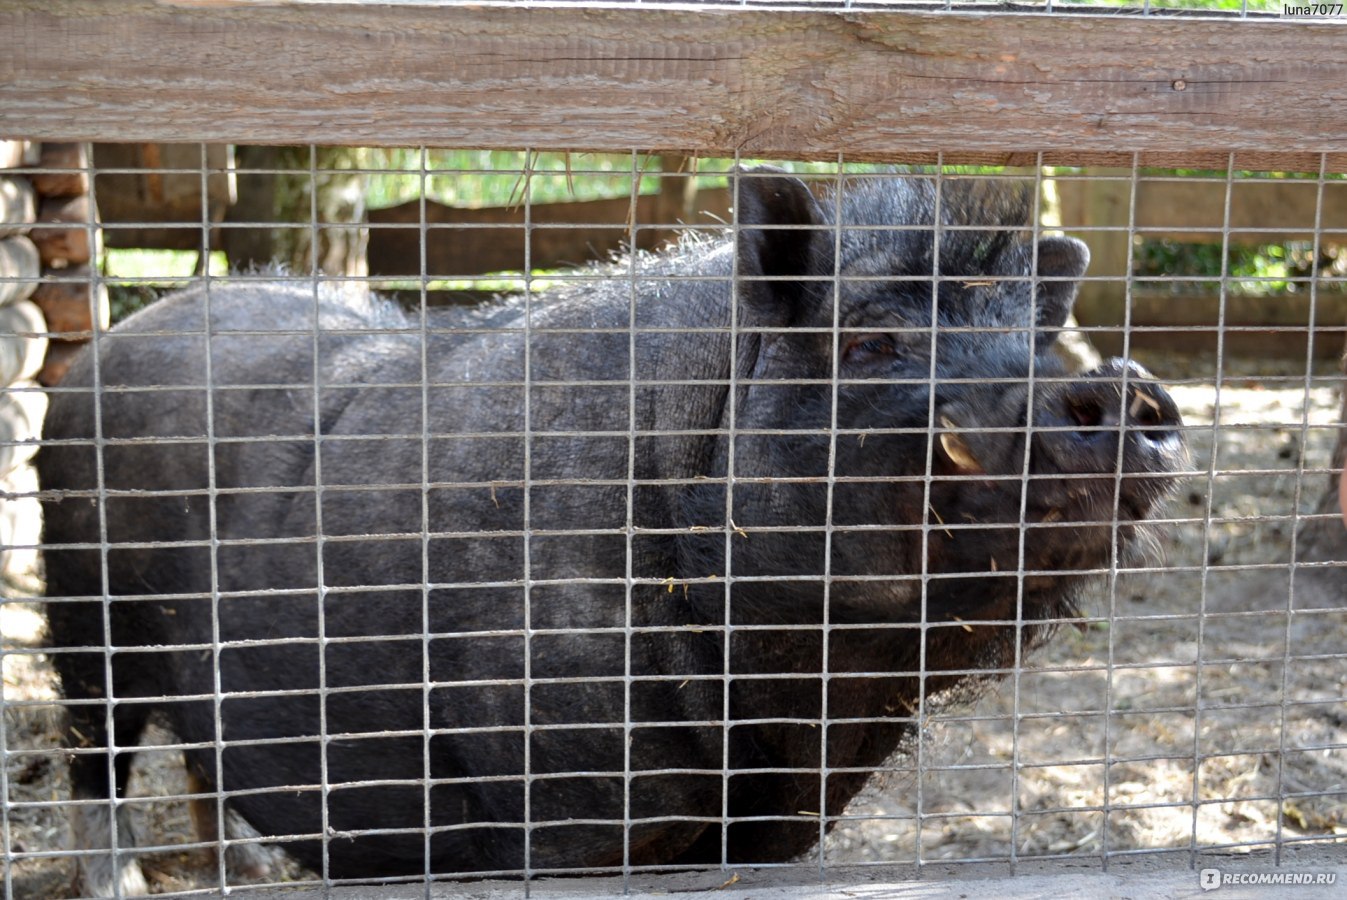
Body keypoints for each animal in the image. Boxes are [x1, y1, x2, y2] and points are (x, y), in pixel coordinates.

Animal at [36, 170, 1185, 894]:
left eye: (1034, 339)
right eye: (870, 342)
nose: (1120, 388)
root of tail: (108, 347)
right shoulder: (569, 807)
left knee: (200, 752)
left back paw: (253, 872)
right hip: (82, 599)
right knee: (94, 752)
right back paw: (124, 884)